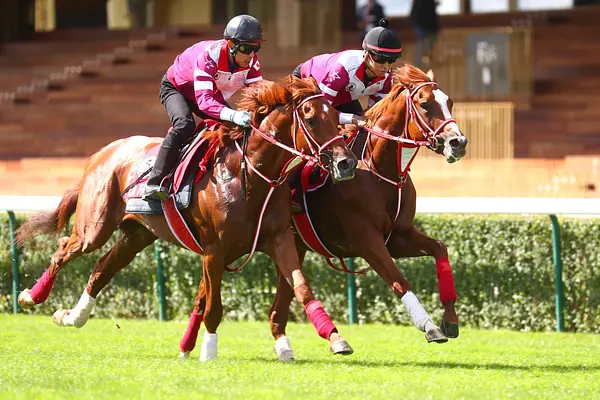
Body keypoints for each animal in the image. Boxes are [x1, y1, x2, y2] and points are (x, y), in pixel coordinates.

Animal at [15, 75, 359, 361]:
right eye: (311, 119)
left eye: (334, 117)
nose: (345, 163)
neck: (248, 176)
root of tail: (102, 153)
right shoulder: (214, 251)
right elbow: (214, 307)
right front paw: (208, 350)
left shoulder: (280, 238)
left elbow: (301, 287)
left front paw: (334, 339)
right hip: (94, 227)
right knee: (64, 250)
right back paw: (31, 298)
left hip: (138, 234)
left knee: (102, 269)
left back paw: (72, 317)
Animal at [262, 64, 468, 359]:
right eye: (425, 104)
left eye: (449, 102)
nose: (458, 143)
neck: (379, 172)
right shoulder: (366, 241)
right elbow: (398, 280)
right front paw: (429, 326)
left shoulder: (397, 237)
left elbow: (440, 249)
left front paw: (450, 319)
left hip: (292, 245)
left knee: (279, 306)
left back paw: (287, 346)